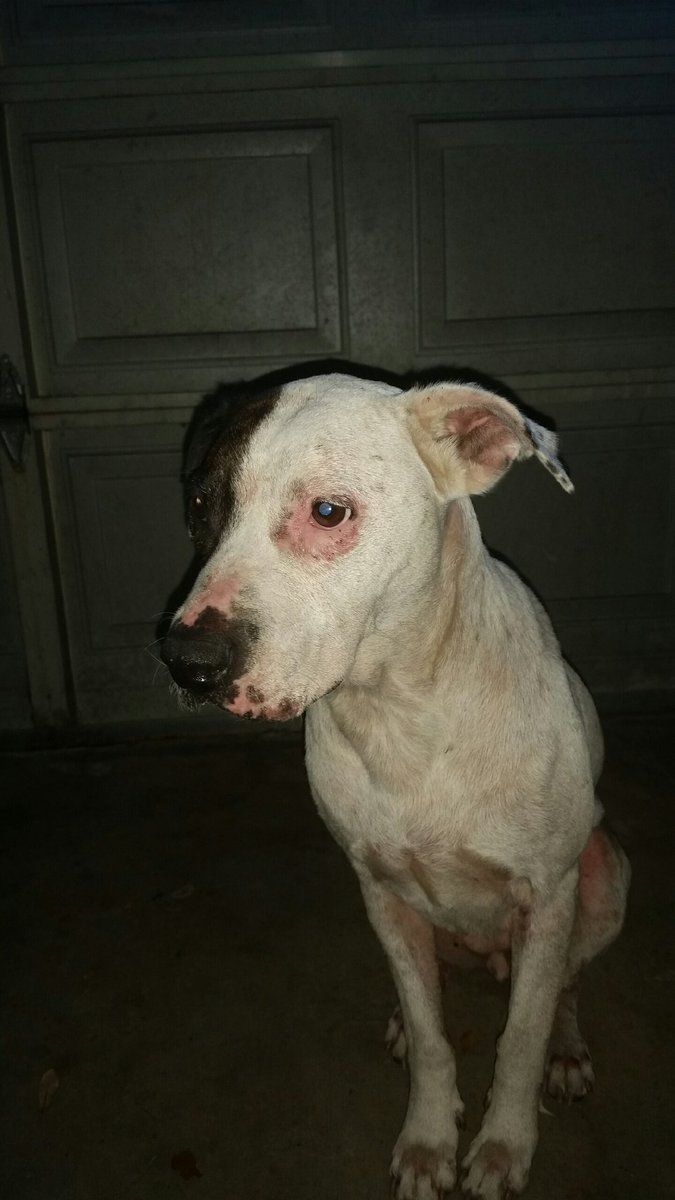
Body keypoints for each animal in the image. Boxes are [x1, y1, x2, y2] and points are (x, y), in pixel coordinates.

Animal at [161, 373, 630, 1199]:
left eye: (327, 512)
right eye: (198, 502)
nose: (187, 663)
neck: (400, 711)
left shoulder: (547, 893)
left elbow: (521, 1033)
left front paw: (502, 1145)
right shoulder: (379, 890)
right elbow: (433, 1030)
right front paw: (427, 1137)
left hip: (605, 876)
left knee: (565, 982)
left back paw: (566, 1049)